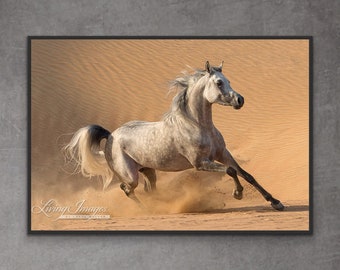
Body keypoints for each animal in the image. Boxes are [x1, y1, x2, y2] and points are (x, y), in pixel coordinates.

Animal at [64, 61, 284, 211]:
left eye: (229, 81)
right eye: (219, 83)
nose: (240, 100)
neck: (198, 126)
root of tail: (111, 136)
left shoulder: (223, 154)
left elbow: (246, 174)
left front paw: (275, 202)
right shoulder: (200, 163)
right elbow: (230, 171)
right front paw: (237, 194)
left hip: (148, 171)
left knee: (148, 189)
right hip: (130, 175)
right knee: (127, 189)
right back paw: (147, 211)